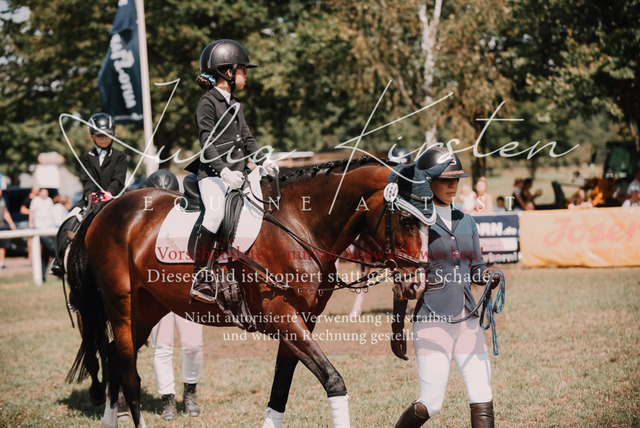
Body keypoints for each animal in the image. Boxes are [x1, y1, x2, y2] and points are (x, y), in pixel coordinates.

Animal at [66, 156, 446, 427]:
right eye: (407, 220)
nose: (416, 283)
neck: (299, 225)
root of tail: (107, 207)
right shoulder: (285, 318)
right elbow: (333, 381)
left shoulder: (302, 322)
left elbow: (280, 388)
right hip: (121, 305)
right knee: (129, 372)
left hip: (147, 309)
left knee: (113, 356)